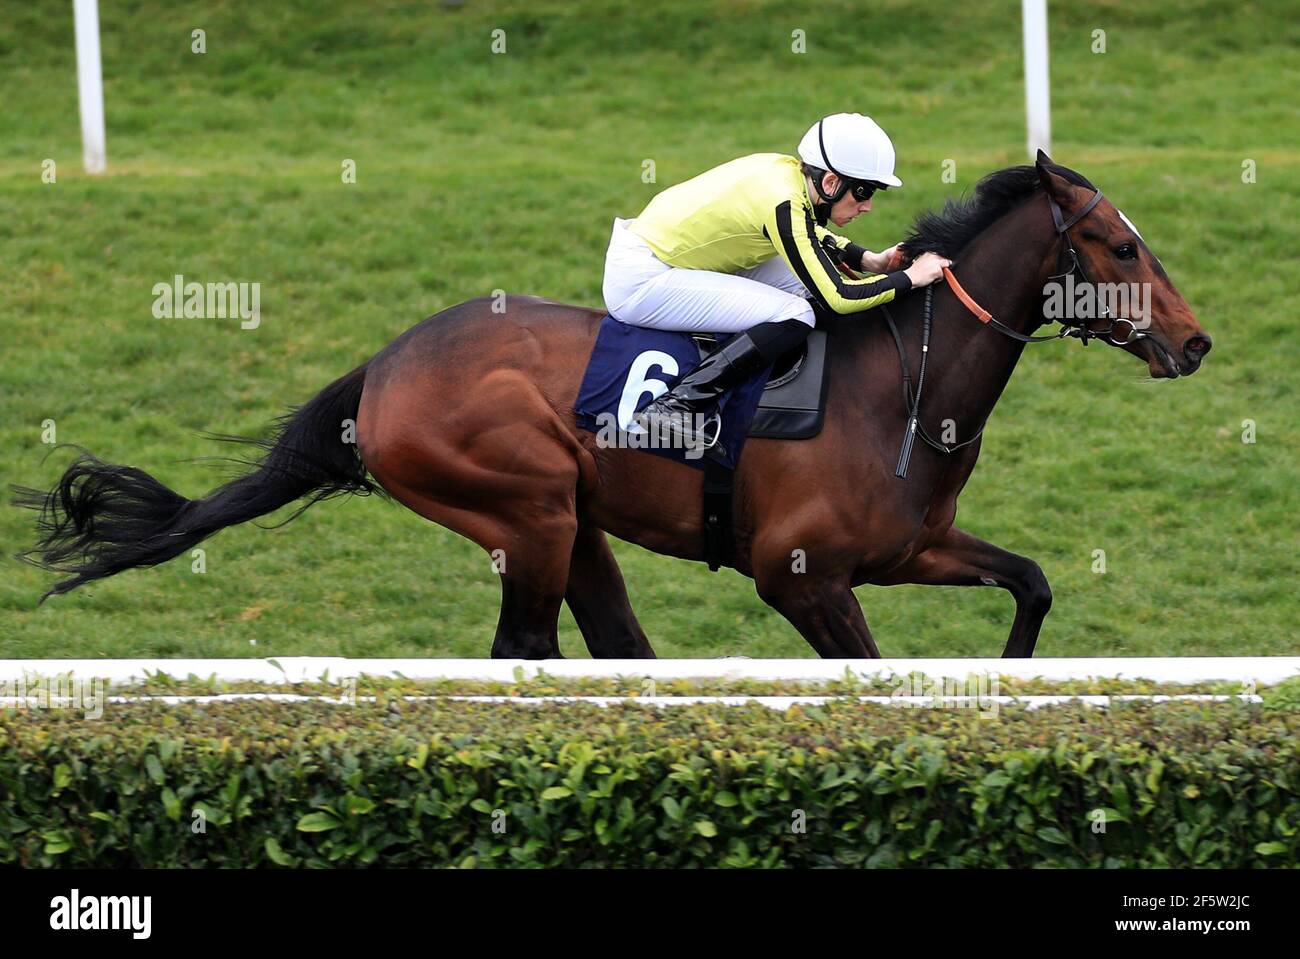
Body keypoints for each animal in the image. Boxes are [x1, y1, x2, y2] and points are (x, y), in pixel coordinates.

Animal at [15, 151, 1206, 657]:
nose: (1194, 341)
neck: (896, 392)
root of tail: (384, 367)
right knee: (525, 651)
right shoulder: (799, 575)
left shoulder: (909, 548)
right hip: (528, 509)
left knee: (615, 647)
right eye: (1116, 244)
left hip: (573, 522)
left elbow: (1033, 583)